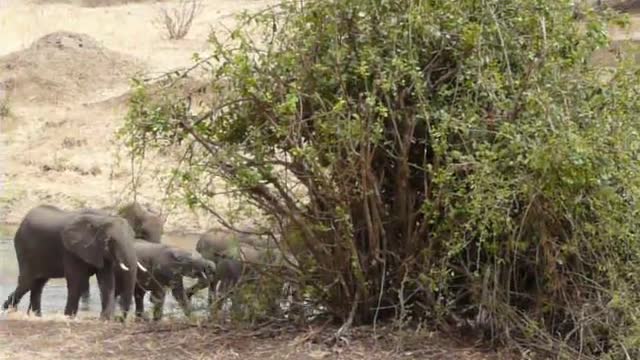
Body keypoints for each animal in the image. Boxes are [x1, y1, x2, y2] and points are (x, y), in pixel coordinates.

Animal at [1, 204, 144, 320]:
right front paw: (69, 317)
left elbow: (107, 281)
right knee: (27, 282)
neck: (101, 219)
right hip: (24, 249)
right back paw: (7, 310)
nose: (121, 318)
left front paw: (105, 318)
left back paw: (37, 316)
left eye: (134, 236)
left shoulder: (99, 252)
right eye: (109, 241)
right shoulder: (70, 250)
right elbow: (75, 281)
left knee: (38, 284)